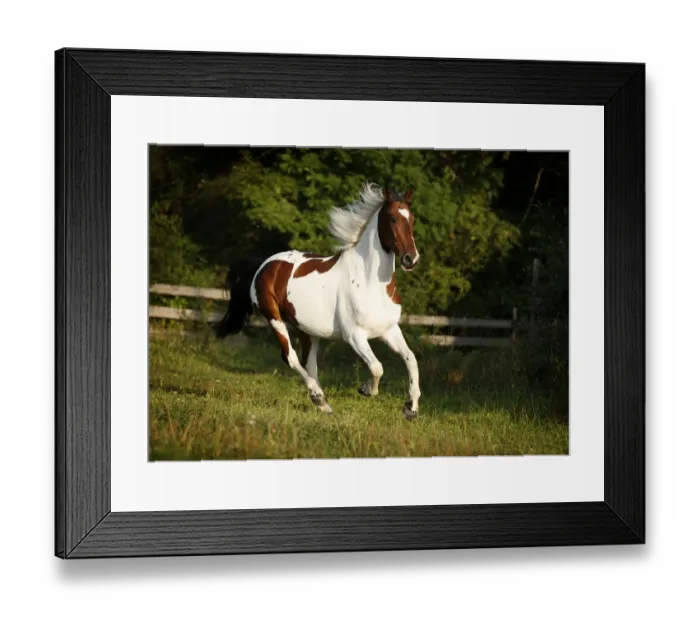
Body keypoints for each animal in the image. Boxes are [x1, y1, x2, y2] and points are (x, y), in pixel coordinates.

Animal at [215, 182, 422, 421]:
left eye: (412, 219)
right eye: (392, 218)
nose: (411, 259)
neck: (370, 283)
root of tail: (265, 264)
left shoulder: (389, 330)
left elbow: (411, 359)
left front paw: (410, 408)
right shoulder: (354, 336)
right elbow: (377, 367)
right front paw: (365, 389)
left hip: (306, 329)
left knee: (309, 363)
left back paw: (321, 403)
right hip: (274, 318)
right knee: (291, 357)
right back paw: (318, 396)